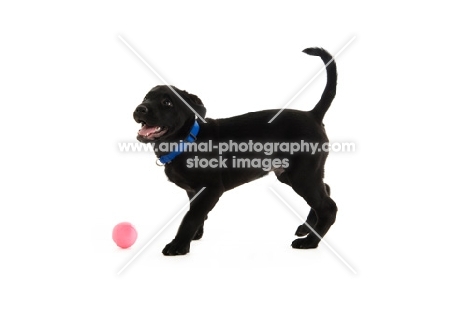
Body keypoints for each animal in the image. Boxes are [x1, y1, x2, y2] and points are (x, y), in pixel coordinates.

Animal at [133, 46, 338, 254]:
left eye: (167, 103)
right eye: (146, 98)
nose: (140, 108)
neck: (186, 141)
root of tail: (312, 114)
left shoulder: (211, 189)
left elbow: (190, 218)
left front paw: (178, 245)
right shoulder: (194, 191)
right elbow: (196, 213)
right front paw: (195, 235)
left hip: (302, 176)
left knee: (328, 207)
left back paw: (310, 241)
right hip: (290, 174)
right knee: (325, 190)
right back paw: (307, 228)